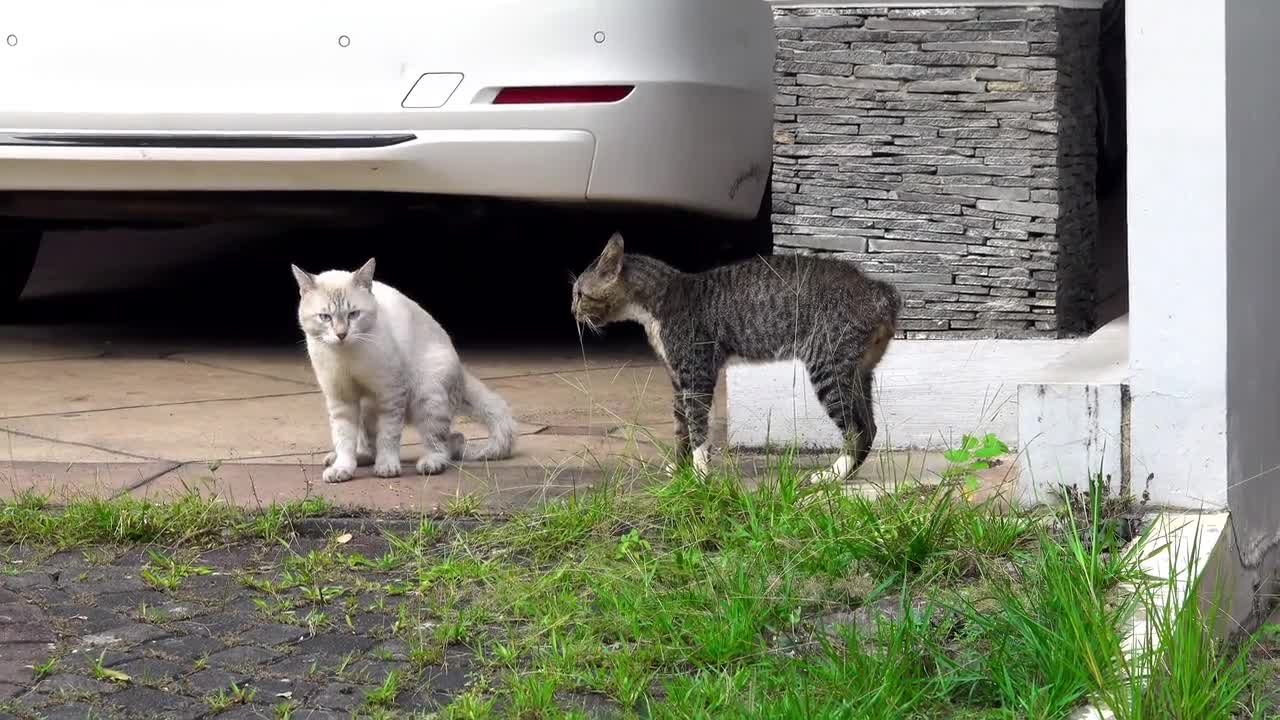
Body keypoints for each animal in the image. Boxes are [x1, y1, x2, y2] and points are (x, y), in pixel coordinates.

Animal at [290, 257, 514, 481]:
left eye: (353, 315)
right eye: (325, 317)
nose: (341, 334)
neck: (346, 356)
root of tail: (461, 370)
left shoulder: (391, 394)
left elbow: (388, 436)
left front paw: (387, 467)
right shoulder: (341, 398)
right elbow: (344, 438)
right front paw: (342, 469)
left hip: (428, 397)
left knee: (442, 443)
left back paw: (431, 463)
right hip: (367, 408)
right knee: (368, 446)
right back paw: (348, 458)